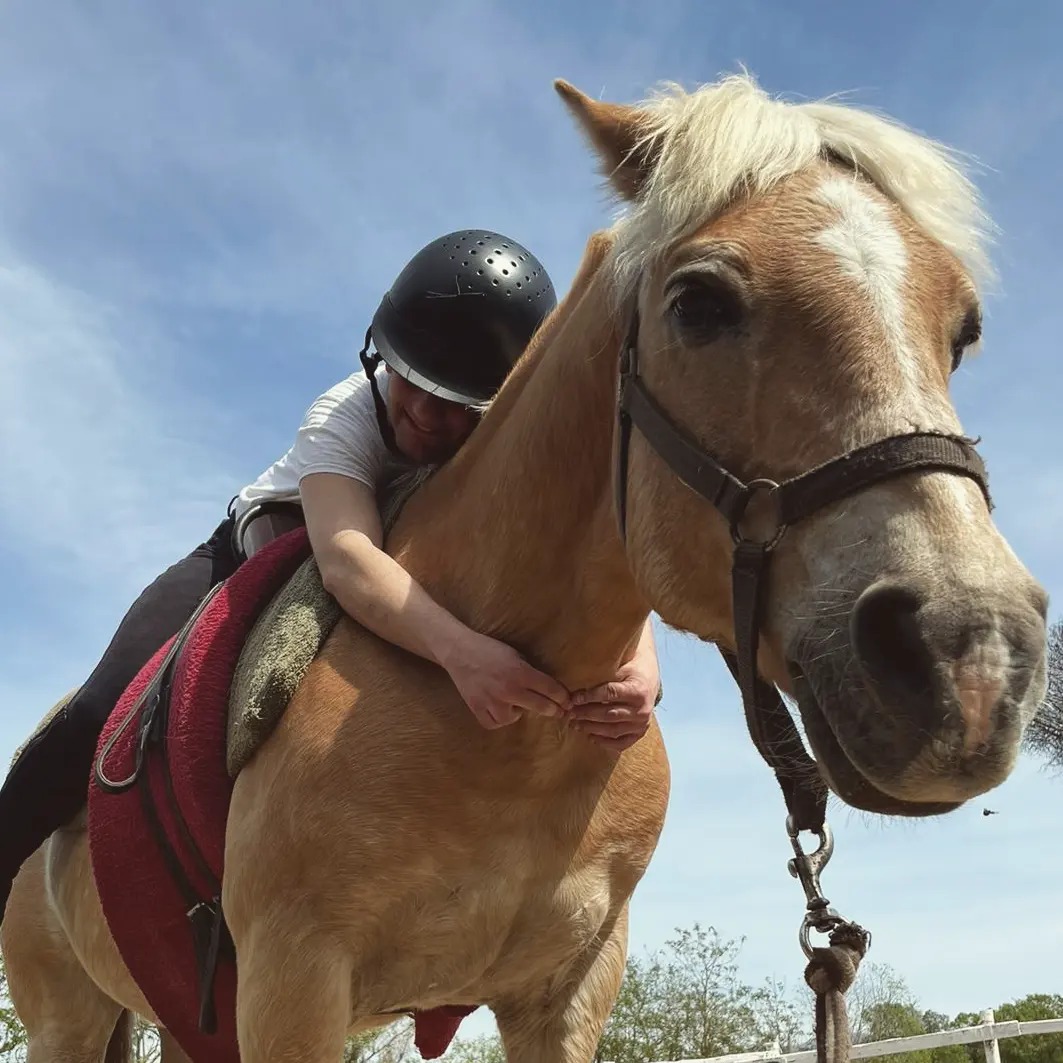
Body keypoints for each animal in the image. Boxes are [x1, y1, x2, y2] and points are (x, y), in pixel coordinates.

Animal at [0, 71, 1047, 1063]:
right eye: (698, 304)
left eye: (962, 330)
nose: (969, 652)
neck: (513, 745)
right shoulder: (292, 986)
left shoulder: (568, 990)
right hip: (71, 1014)